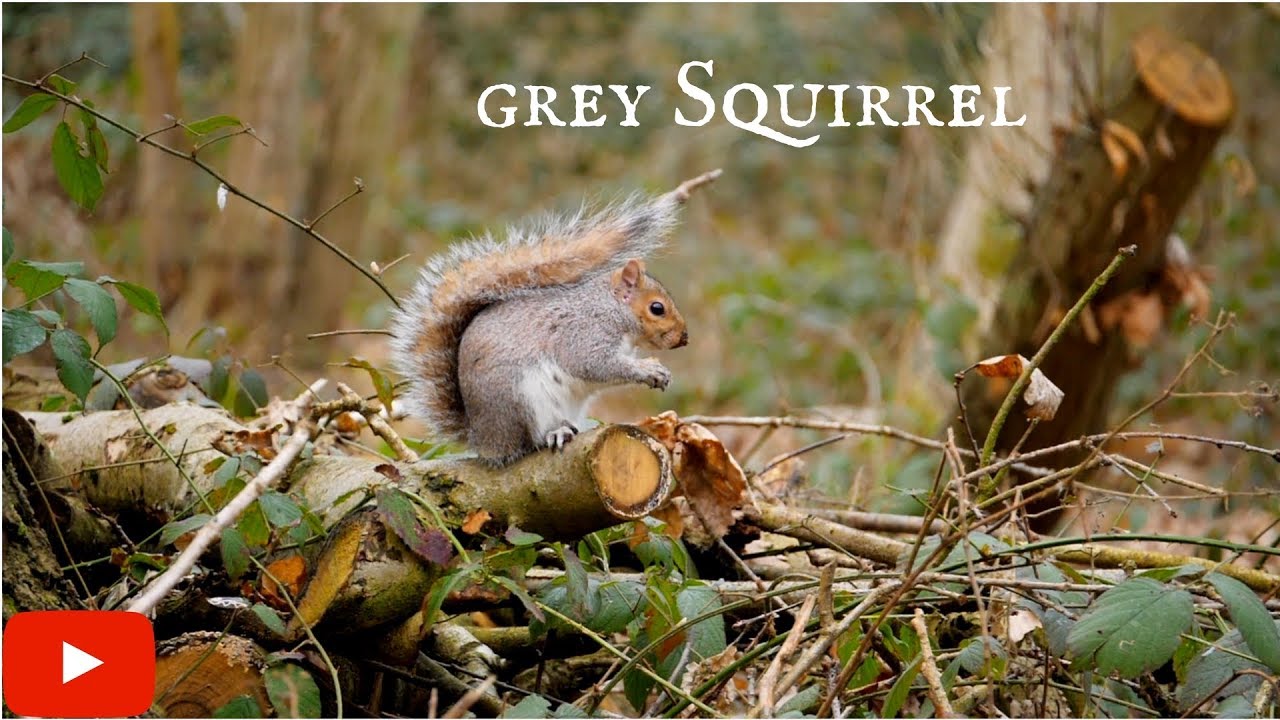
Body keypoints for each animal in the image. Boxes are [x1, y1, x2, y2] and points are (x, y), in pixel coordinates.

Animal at [389, 171, 719, 465]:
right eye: (657, 308)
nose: (684, 338)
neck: (610, 309)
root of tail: (483, 440)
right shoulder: (584, 333)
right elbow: (595, 364)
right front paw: (649, 370)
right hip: (520, 400)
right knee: (527, 443)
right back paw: (554, 434)